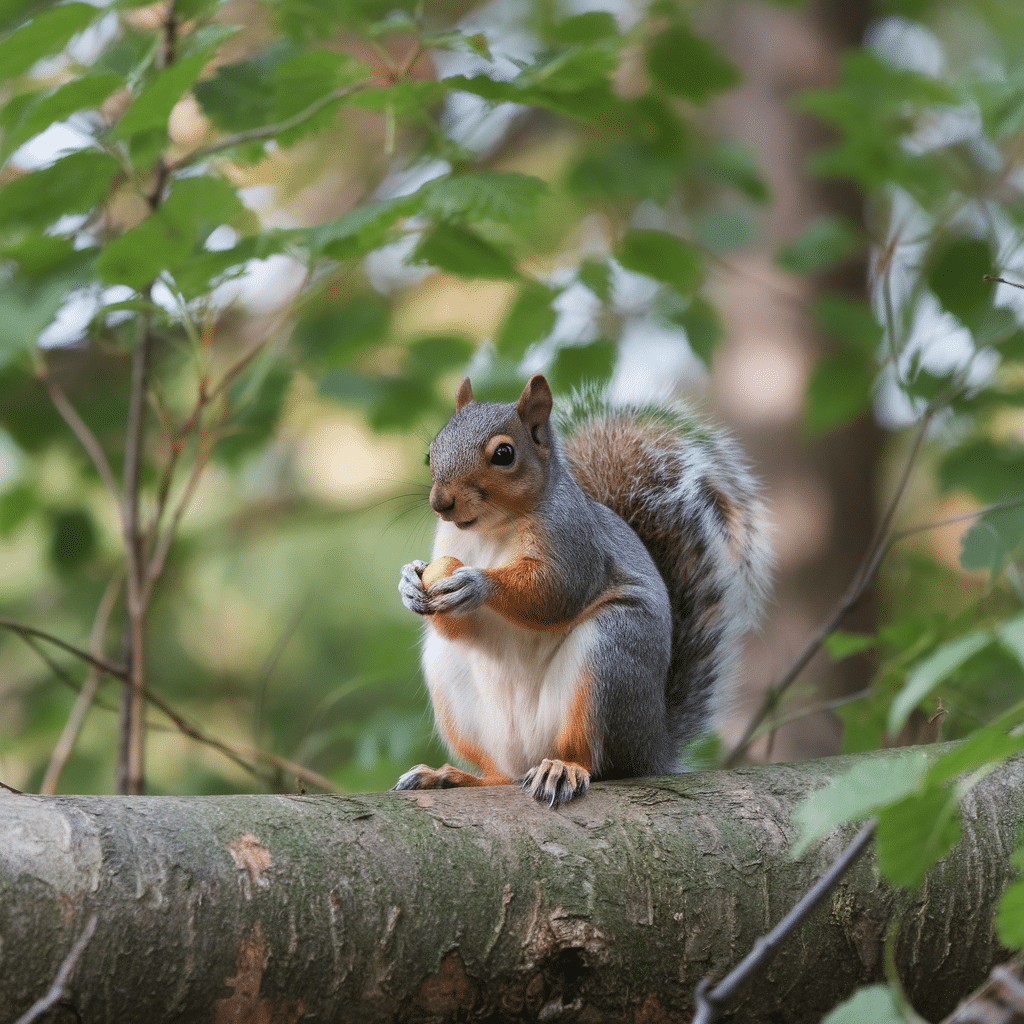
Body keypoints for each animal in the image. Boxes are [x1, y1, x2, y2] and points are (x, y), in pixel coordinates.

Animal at [395, 374, 771, 807]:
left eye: (504, 453)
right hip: (453, 679)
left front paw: (476, 582)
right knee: (501, 774)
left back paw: (563, 769)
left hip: (611, 657)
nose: (441, 503)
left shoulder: (574, 540)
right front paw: (409, 581)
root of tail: (653, 749)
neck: (492, 528)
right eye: (431, 452)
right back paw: (451, 777)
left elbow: (556, 594)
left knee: (596, 760)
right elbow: (452, 622)